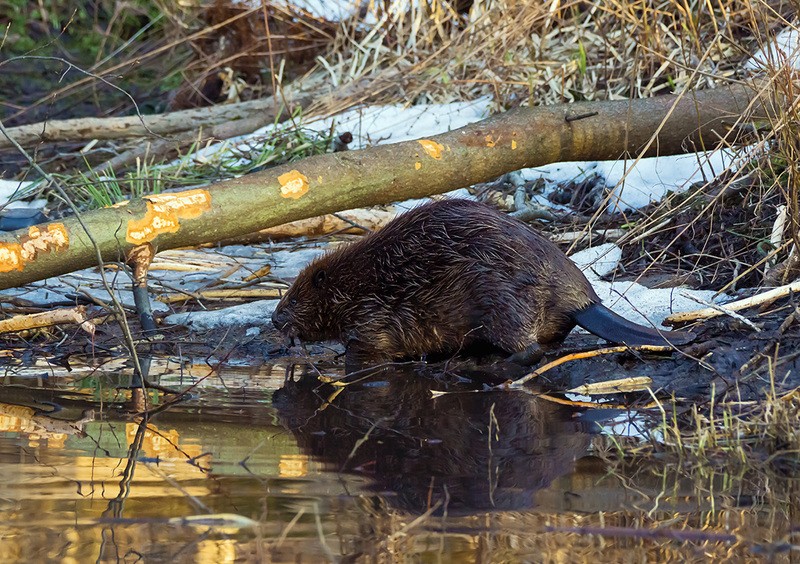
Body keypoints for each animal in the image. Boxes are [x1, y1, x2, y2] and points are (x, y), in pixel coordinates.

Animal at [270, 196, 692, 368]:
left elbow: (366, 351)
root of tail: (587, 302)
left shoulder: (371, 315)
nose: (274, 318)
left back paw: (484, 365)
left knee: (529, 349)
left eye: (293, 300)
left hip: (497, 298)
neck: (355, 282)